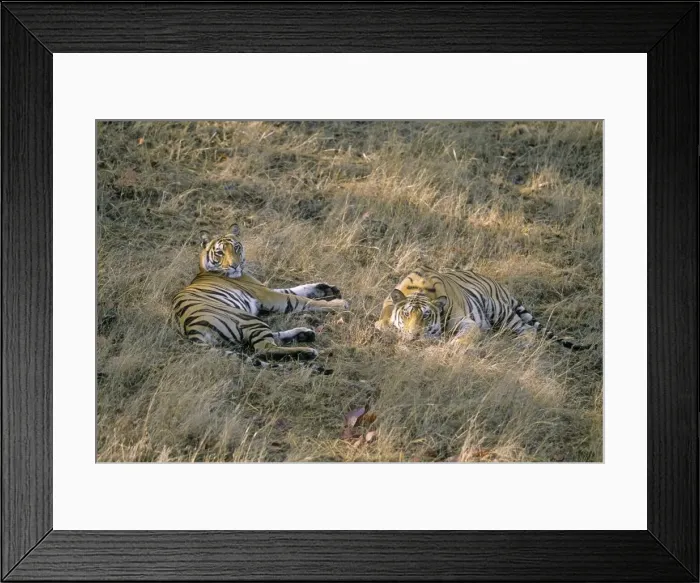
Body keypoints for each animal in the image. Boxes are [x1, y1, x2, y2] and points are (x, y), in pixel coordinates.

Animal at [172, 224, 348, 362]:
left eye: (236, 248)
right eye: (220, 253)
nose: (235, 265)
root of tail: (191, 333)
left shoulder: (263, 288)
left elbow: (298, 289)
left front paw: (326, 288)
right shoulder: (266, 294)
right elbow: (299, 299)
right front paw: (340, 304)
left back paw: (305, 334)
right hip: (245, 318)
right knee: (264, 349)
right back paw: (307, 351)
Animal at [374, 266, 593, 350]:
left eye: (427, 316)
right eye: (406, 314)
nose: (413, 337)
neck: (421, 291)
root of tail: (502, 287)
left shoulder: (467, 322)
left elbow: (466, 335)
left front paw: (454, 345)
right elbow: (383, 322)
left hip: (500, 312)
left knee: (528, 329)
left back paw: (522, 343)